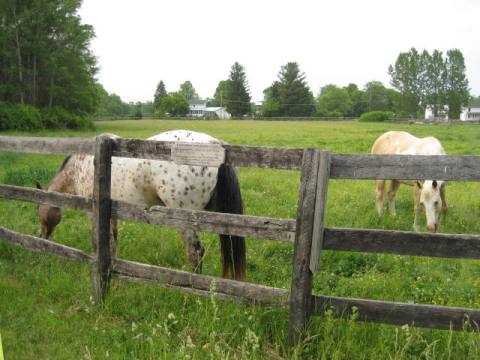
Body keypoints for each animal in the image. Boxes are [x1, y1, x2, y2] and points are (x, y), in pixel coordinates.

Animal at [36, 131, 248, 280]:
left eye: (38, 210)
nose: (42, 236)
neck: (81, 165)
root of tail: (215, 145)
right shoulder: (113, 215)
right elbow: (113, 243)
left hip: (185, 218)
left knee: (195, 252)